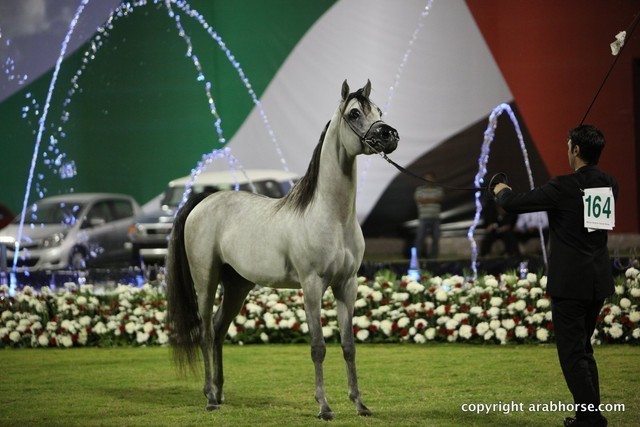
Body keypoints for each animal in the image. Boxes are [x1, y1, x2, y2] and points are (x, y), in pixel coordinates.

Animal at [166, 80, 399, 420]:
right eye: (355, 113)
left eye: (379, 111)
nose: (389, 135)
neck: (331, 216)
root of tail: (204, 200)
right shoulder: (312, 285)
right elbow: (318, 347)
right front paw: (324, 407)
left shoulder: (347, 285)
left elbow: (348, 346)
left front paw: (359, 404)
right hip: (205, 281)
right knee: (207, 334)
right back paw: (209, 397)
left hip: (237, 285)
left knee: (220, 330)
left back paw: (220, 393)